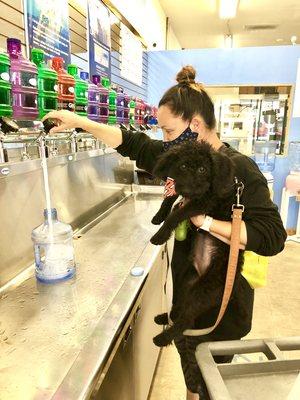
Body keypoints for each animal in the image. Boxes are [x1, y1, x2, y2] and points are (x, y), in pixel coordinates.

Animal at [149, 141, 245, 346]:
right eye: (183, 166)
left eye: (203, 169)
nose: (189, 188)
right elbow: (170, 198)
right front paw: (158, 216)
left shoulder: (203, 202)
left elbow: (175, 214)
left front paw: (159, 236)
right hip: (187, 283)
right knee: (180, 309)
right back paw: (164, 317)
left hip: (203, 292)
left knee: (187, 320)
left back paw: (162, 338)